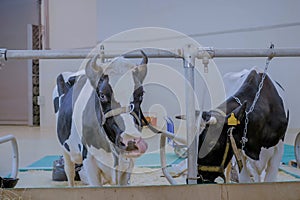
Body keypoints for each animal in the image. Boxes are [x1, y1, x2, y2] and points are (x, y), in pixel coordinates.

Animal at [53, 51, 149, 186]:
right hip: (65, 150)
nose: (130, 140)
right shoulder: (89, 162)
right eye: (102, 95)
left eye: (140, 94)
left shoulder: (128, 166)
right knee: (69, 172)